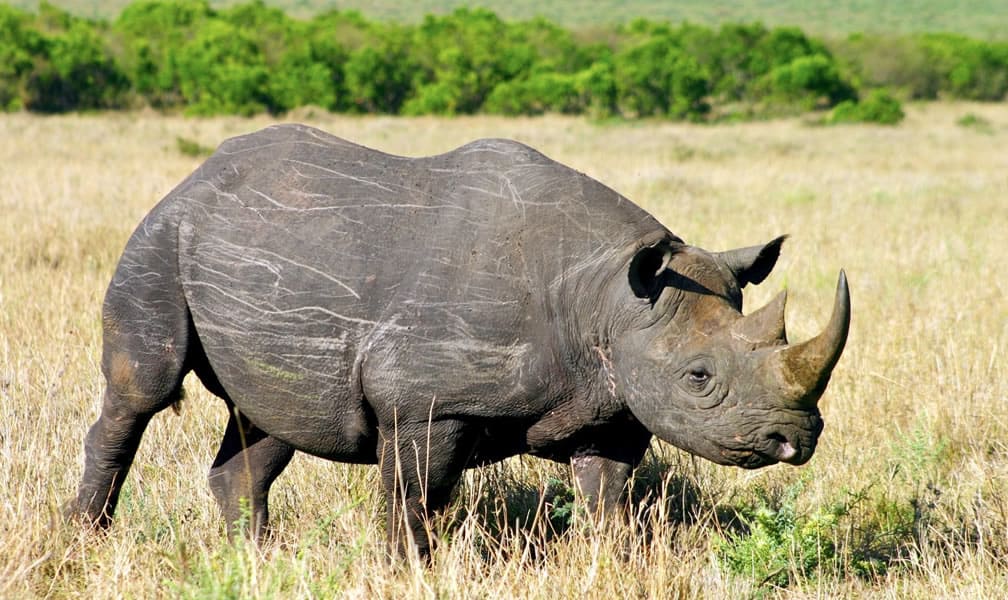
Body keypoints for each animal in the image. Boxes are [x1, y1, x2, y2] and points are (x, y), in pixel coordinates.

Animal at [66, 124, 849, 558]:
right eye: (698, 377)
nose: (795, 441)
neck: (607, 299)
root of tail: (193, 176)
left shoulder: (614, 403)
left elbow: (608, 502)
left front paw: (616, 564)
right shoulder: (425, 401)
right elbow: (413, 496)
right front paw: (406, 570)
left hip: (255, 256)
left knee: (270, 417)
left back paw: (253, 560)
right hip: (160, 235)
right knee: (142, 391)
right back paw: (84, 540)